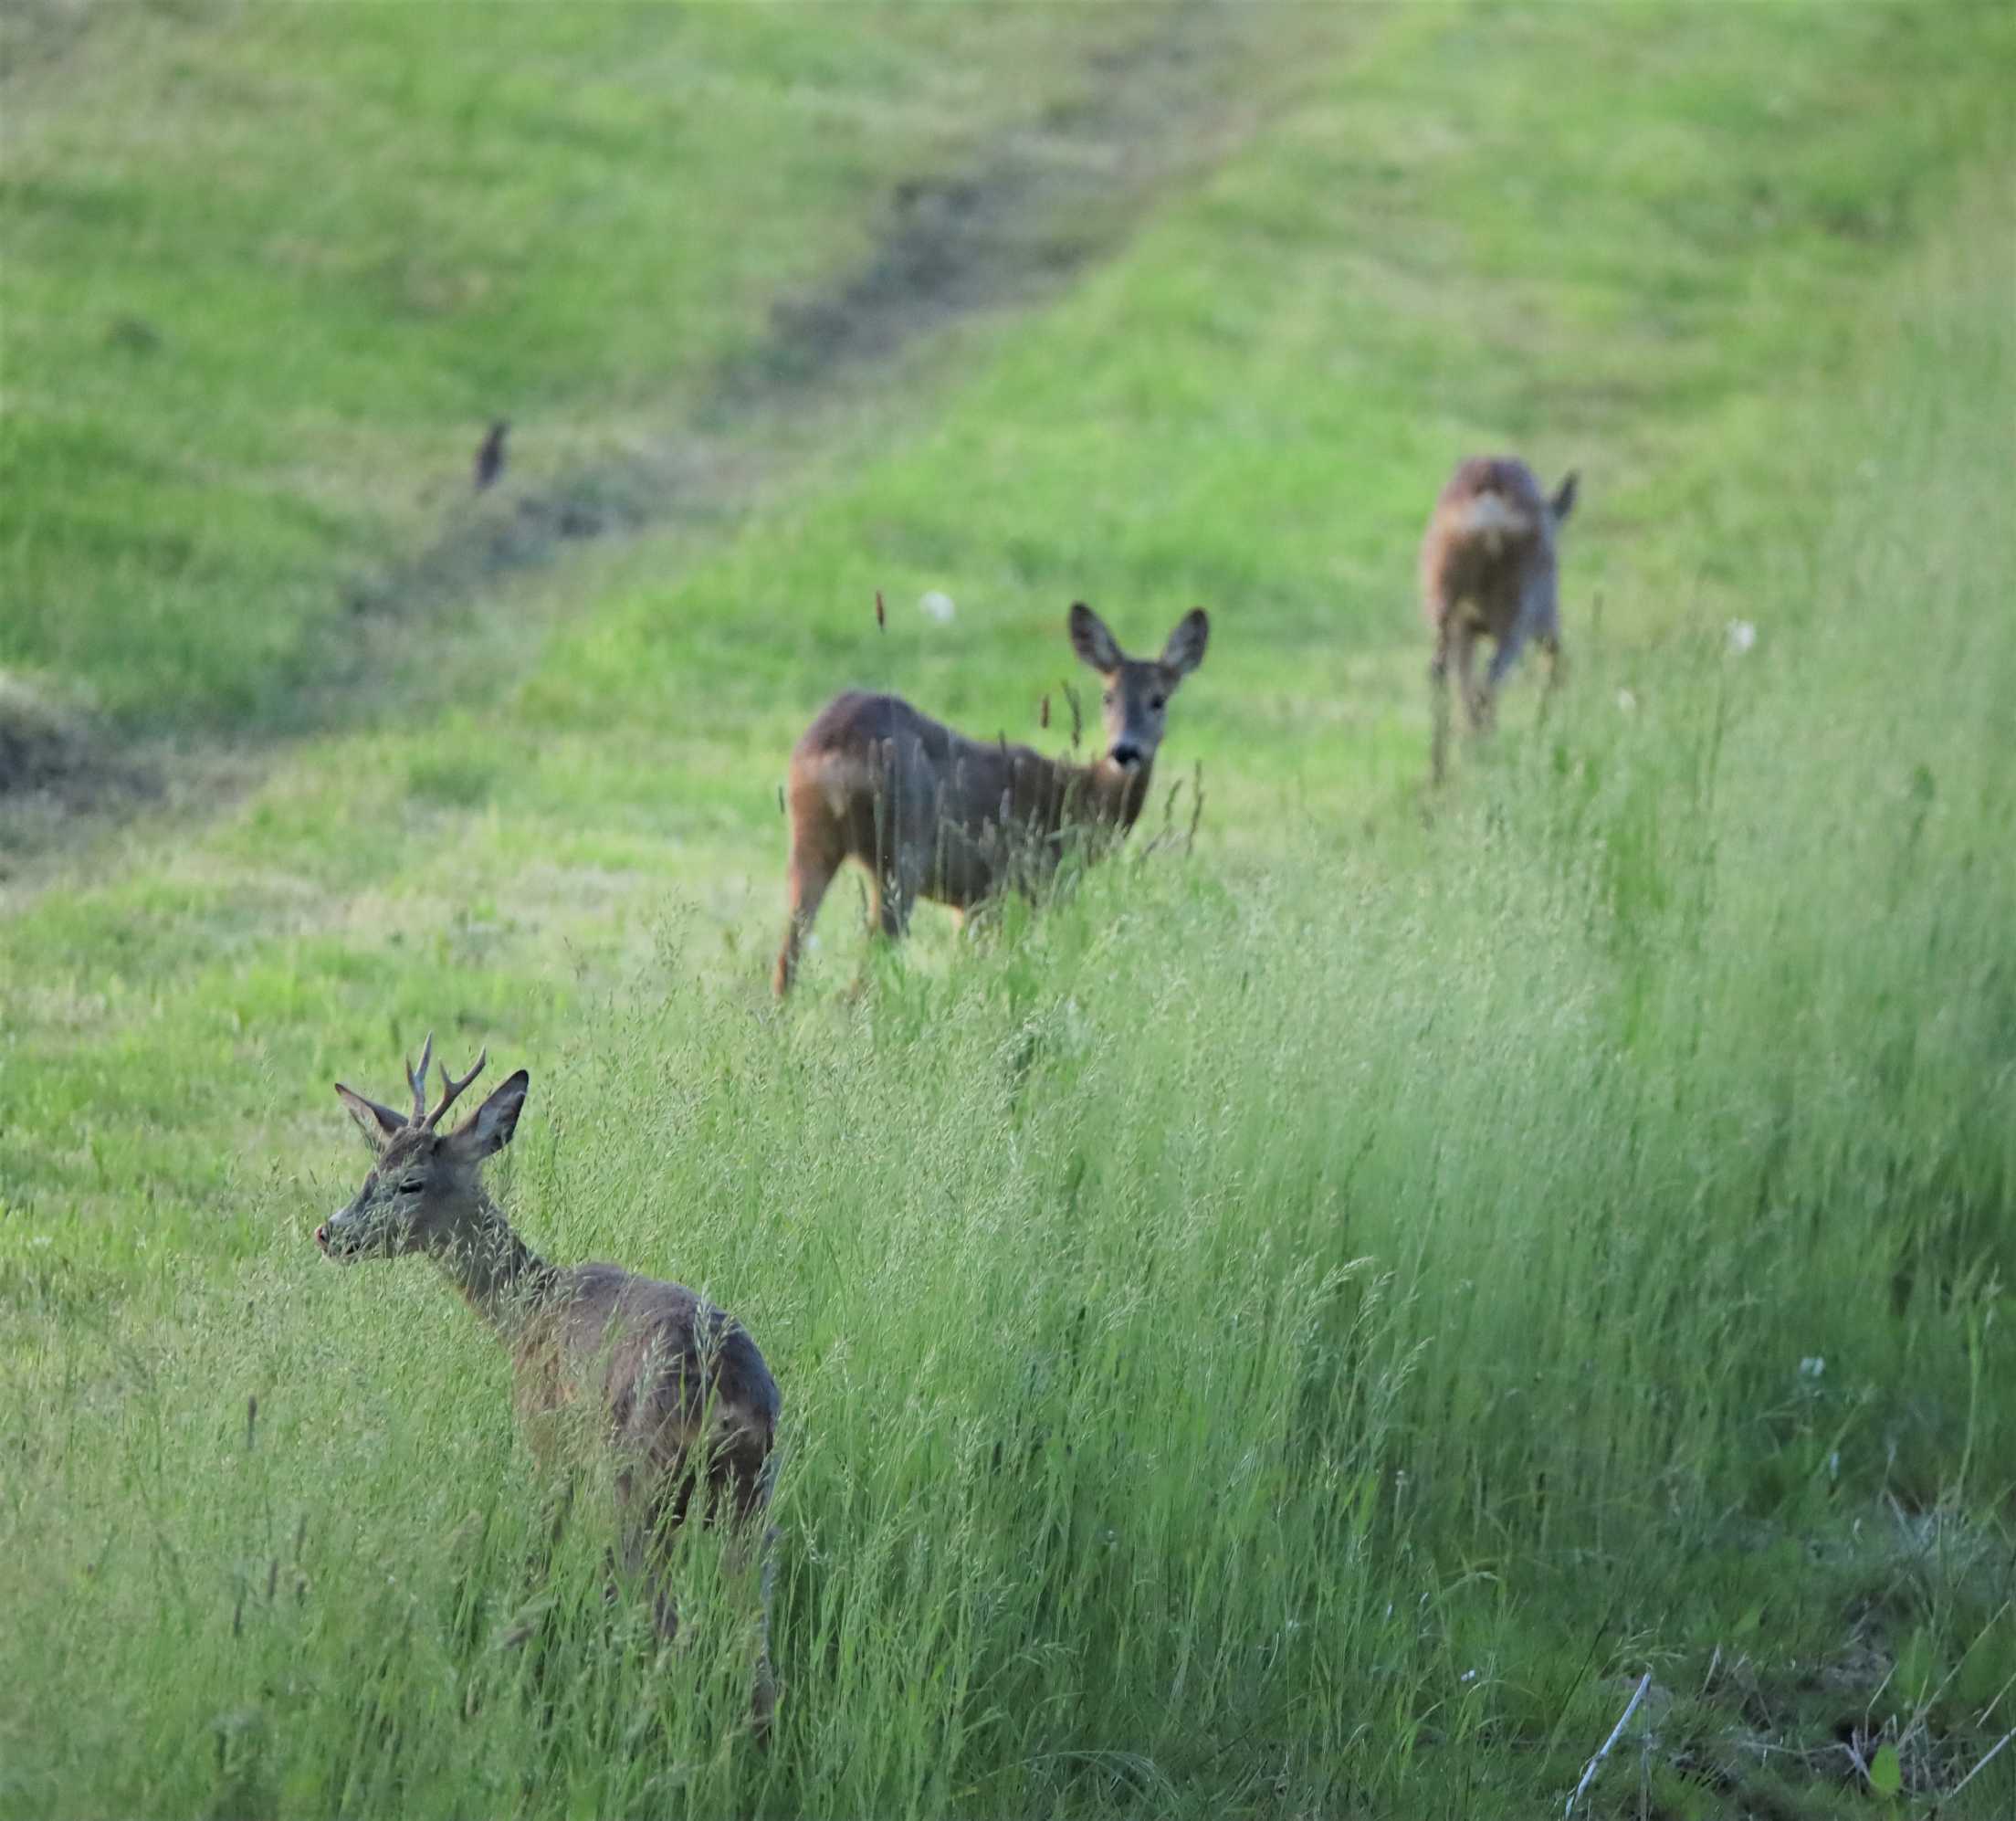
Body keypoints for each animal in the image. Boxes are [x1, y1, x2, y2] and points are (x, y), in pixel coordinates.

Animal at [318, 1040, 782, 1734]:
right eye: (370, 1172)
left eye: (411, 1182)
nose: (329, 1232)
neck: (528, 1312)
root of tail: (724, 1390)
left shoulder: (547, 1437)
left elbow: (539, 1548)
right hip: (751, 1500)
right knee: (754, 1638)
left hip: (638, 1483)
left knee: (665, 1621)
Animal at [773, 601, 1209, 995]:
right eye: (1108, 697)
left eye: (1158, 699)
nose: (1125, 750)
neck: (1080, 799)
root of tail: (834, 747)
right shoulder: (1027, 883)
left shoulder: (972, 900)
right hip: (901, 848)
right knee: (866, 963)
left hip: (809, 836)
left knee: (787, 955)